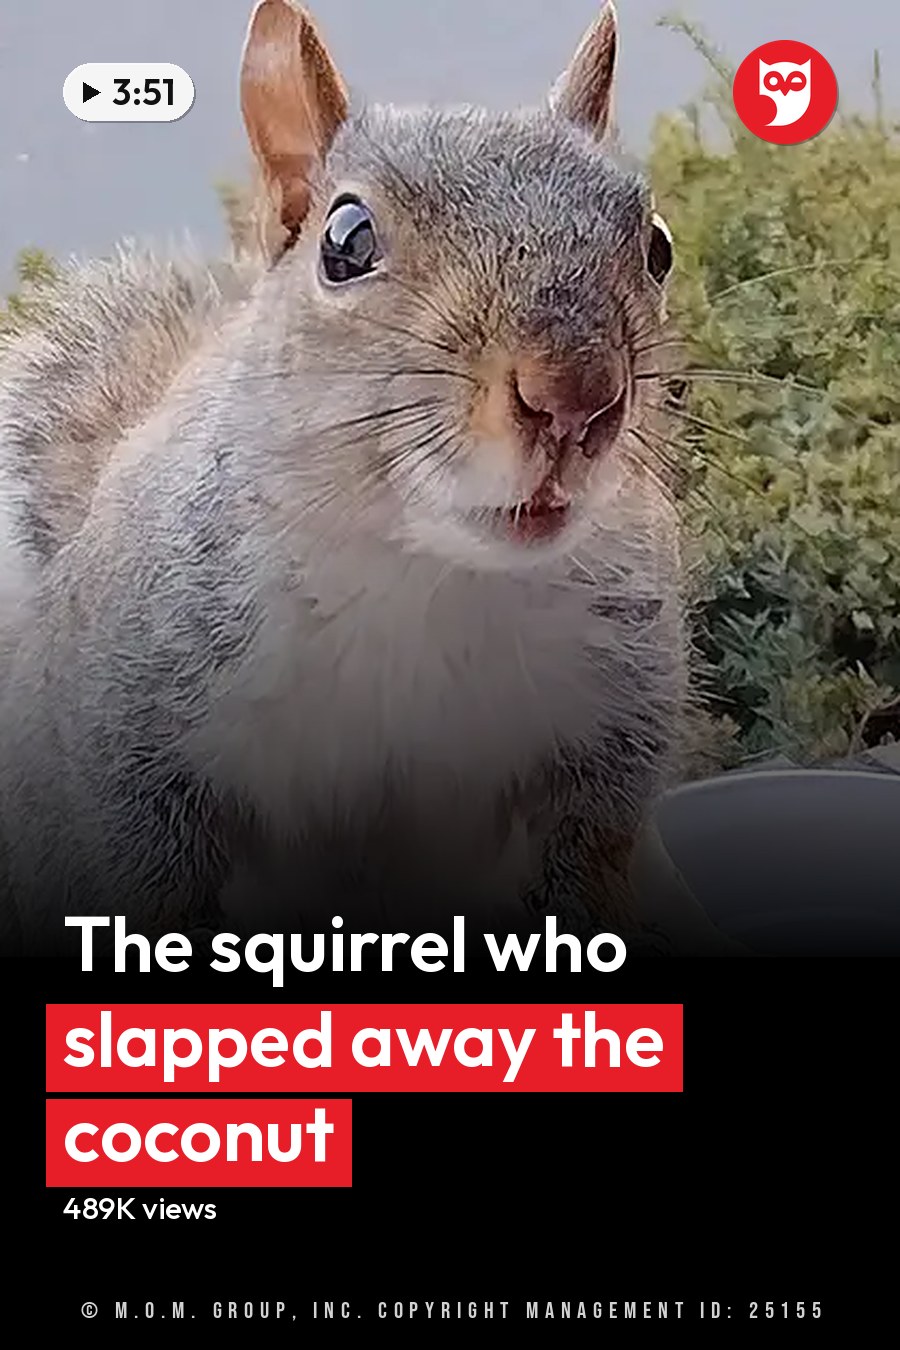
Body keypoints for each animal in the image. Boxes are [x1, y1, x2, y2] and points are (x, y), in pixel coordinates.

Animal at [0, 1, 687, 954]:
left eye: (657, 247)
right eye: (347, 242)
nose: (575, 397)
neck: (426, 574)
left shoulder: (609, 726)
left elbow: (591, 856)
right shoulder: (134, 720)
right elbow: (148, 867)